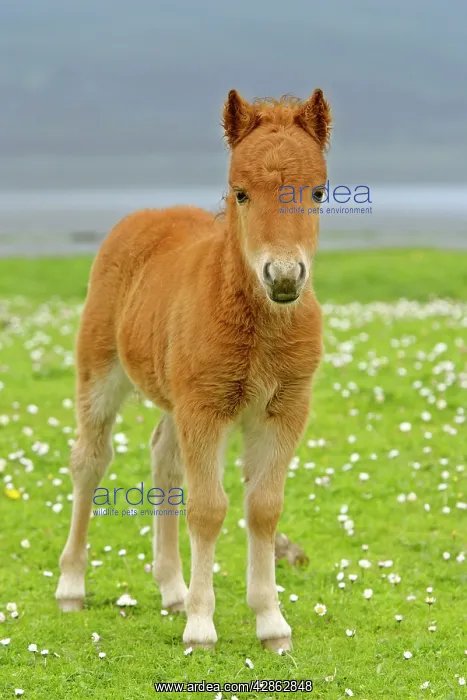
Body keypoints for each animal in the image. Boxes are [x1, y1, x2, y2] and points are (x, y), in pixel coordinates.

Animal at [56, 88, 331, 652]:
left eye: (317, 192)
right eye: (240, 193)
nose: (283, 277)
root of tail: (148, 214)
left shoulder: (284, 410)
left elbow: (263, 508)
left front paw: (272, 625)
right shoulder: (206, 408)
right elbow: (207, 509)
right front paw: (203, 628)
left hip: (174, 396)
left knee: (164, 459)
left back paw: (172, 590)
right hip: (100, 371)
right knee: (90, 460)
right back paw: (72, 586)